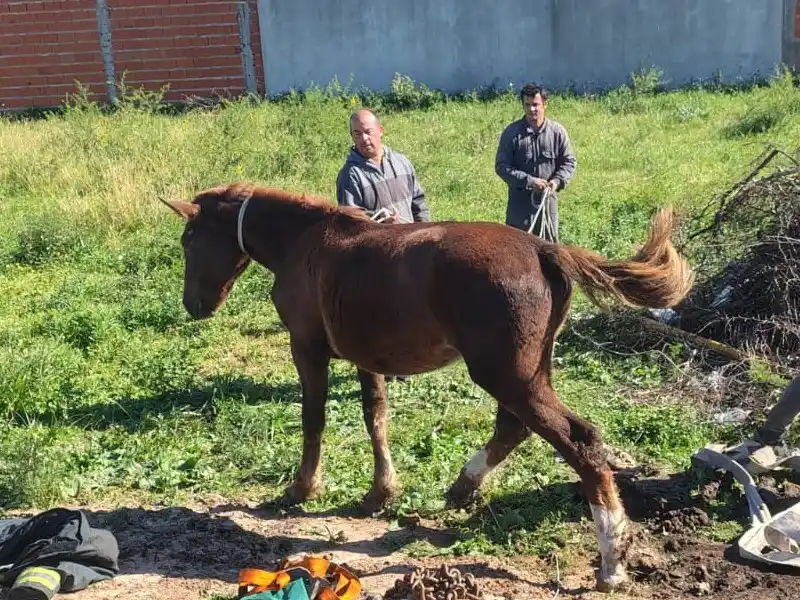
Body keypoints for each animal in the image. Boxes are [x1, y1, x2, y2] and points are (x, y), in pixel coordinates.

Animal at [161, 182, 694, 592]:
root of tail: (544, 248)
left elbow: (314, 418)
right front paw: (380, 493)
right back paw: (463, 486)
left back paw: (611, 561)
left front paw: (301, 488)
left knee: (579, 440)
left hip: (504, 374)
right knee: (513, 428)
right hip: (526, 371)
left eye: (189, 239)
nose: (193, 305)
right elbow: (375, 416)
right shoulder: (368, 359)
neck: (305, 243)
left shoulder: (307, 348)